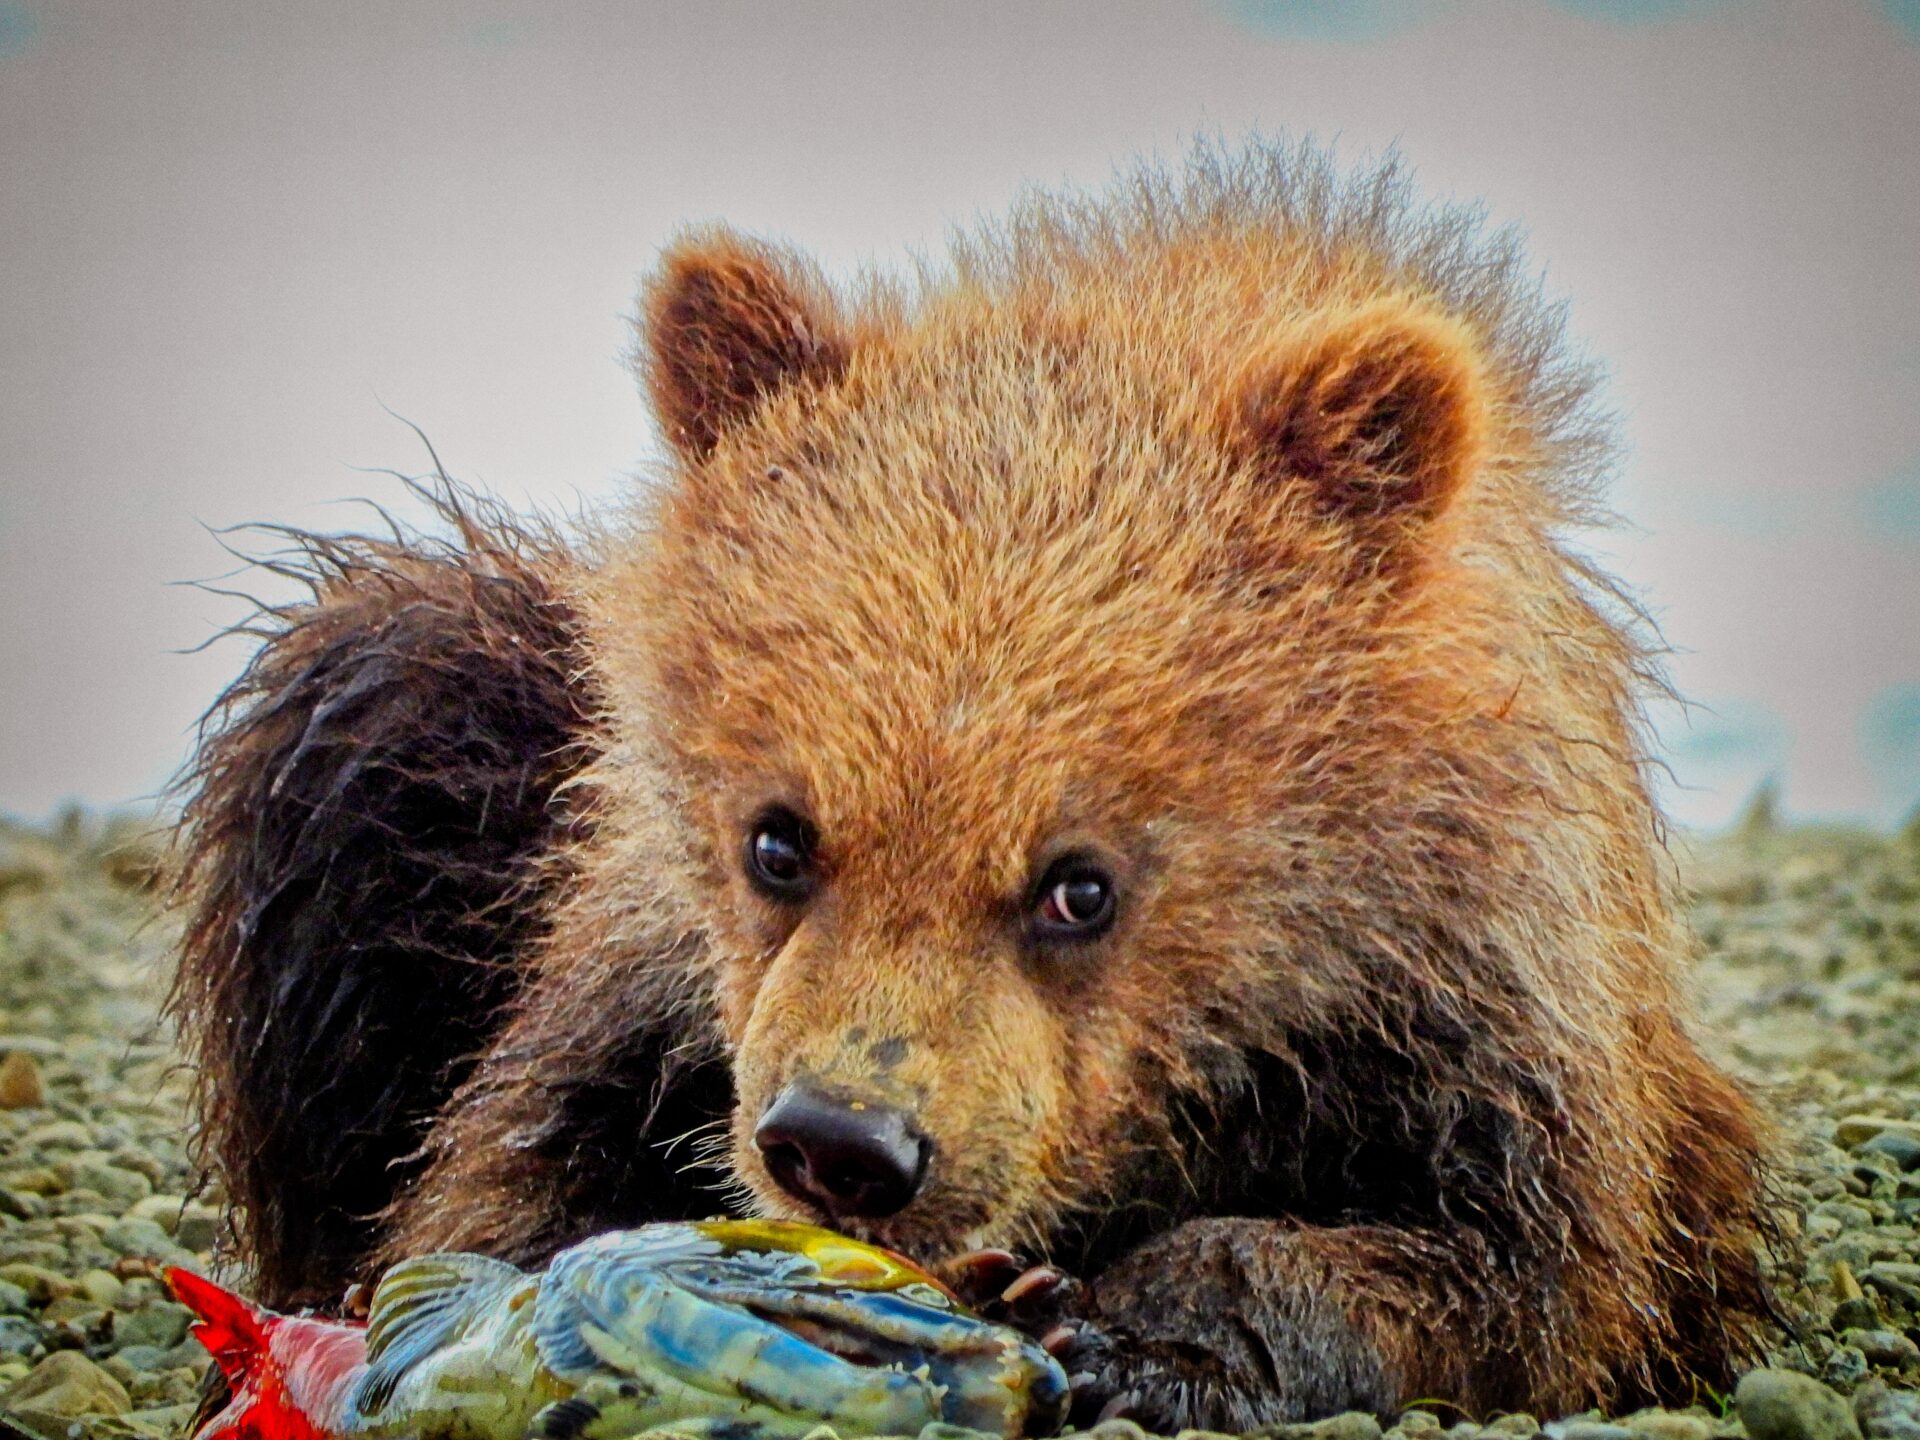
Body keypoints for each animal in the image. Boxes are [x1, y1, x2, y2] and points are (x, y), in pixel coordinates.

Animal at [169, 138, 1776, 1432]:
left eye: (1081, 884)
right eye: (779, 839)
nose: (843, 1145)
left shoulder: (1482, 998)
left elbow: (1524, 1268)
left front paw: (1133, 1333)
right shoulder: (634, 965)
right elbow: (498, 1183)